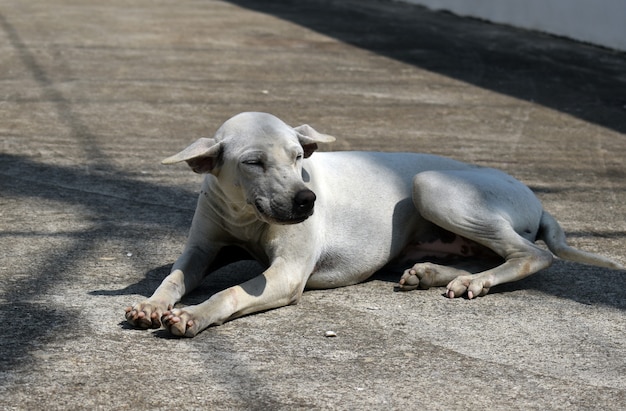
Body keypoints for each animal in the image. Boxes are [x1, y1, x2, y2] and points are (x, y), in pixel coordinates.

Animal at [124, 111, 620, 336]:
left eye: (299, 157)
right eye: (253, 162)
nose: (307, 200)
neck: (246, 214)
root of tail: (537, 199)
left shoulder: (285, 275)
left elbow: (230, 292)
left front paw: (193, 315)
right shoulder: (203, 247)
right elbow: (174, 276)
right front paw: (151, 304)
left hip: (430, 185)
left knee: (530, 253)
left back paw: (472, 283)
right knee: (490, 254)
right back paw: (436, 275)